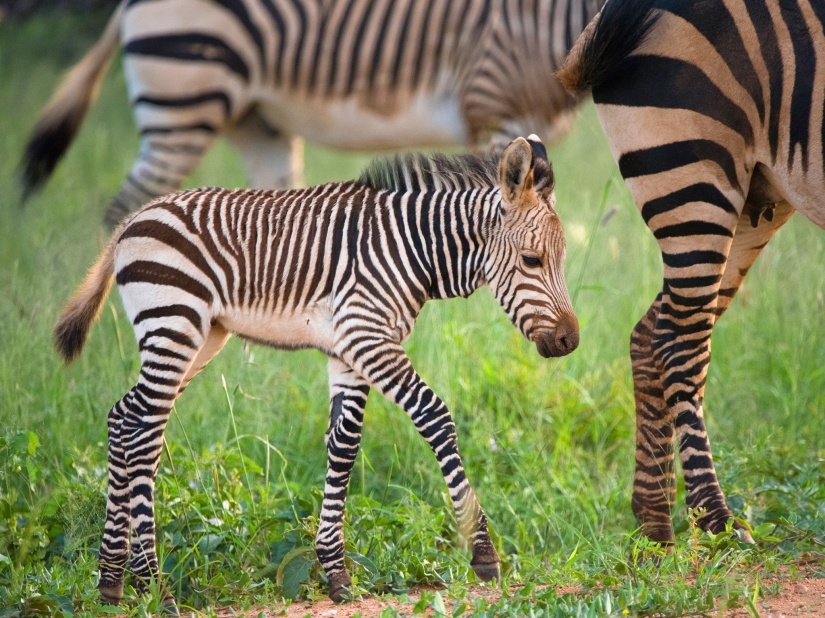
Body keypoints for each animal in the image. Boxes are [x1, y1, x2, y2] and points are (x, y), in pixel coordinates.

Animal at [54, 134, 580, 608]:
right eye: (532, 260)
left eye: (561, 260)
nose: (570, 341)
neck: (412, 249)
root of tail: (132, 221)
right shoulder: (367, 335)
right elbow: (435, 418)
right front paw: (483, 552)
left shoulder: (349, 349)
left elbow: (343, 445)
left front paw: (336, 572)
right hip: (173, 322)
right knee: (144, 431)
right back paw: (154, 585)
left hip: (198, 336)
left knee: (125, 418)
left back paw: (112, 582)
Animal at [560, 0, 824, 540]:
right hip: (692, 167)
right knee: (678, 338)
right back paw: (716, 520)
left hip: (753, 191)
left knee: (650, 333)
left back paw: (655, 524)